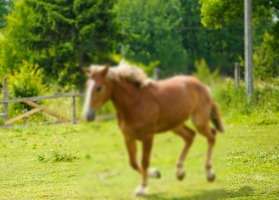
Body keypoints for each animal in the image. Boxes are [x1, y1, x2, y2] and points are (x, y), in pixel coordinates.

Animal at [82, 61, 224, 195]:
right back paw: (180, 173)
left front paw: (142, 188)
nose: (87, 115)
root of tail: (202, 85)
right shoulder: (128, 137)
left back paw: (210, 174)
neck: (135, 103)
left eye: (99, 87)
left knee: (211, 135)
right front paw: (155, 173)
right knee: (190, 136)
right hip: (175, 125)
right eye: (87, 86)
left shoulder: (148, 137)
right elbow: (133, 162)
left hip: (199, 121)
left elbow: (144, 161)